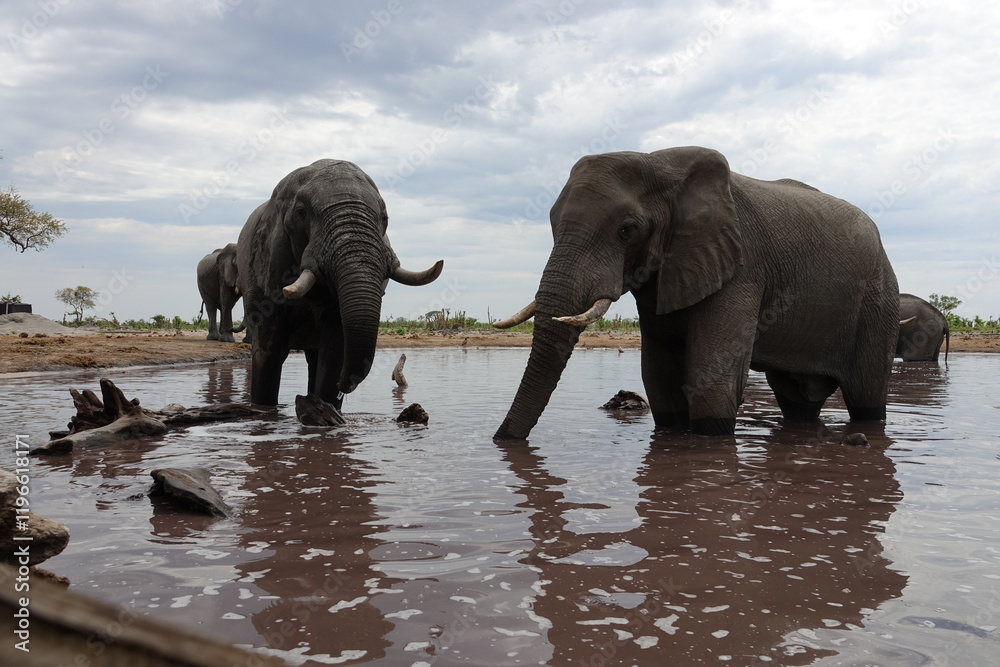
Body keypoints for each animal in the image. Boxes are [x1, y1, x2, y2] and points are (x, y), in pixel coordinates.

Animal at [236, 159, 443, 409]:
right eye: (301, 213)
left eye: (384, 218)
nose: (343, 385)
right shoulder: (268, 264)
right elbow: (270, 350)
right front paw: (264, 410)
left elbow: (334, 350)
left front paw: (327, 406)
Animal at [494, 146, 899, 440]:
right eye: (550, 221)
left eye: (627, 229)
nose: (500, 439)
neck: (660, 164)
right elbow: (660, 378)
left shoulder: (741, 268)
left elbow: (710, 381)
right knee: (797, 400)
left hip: (879, 300)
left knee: (866, 395)